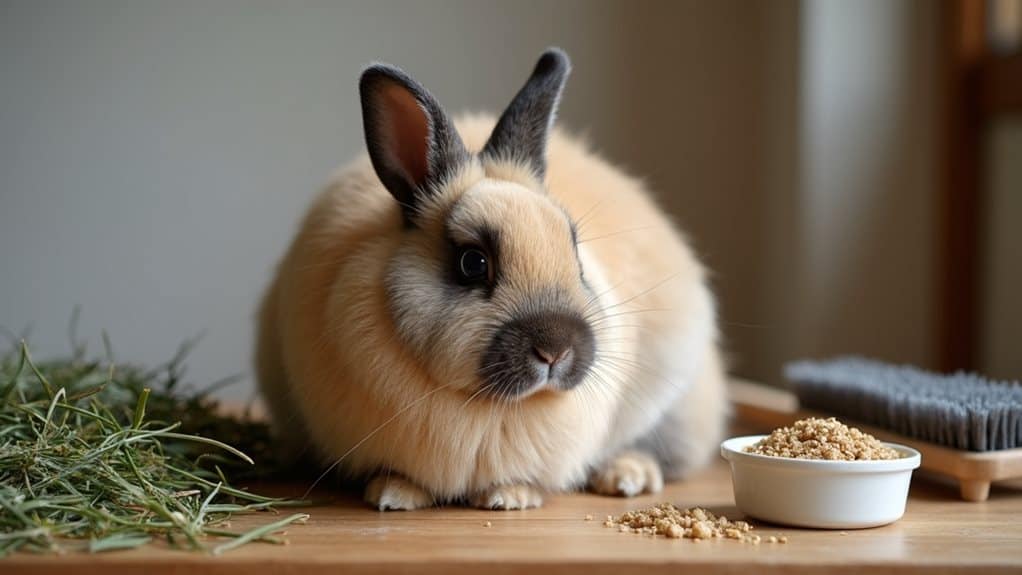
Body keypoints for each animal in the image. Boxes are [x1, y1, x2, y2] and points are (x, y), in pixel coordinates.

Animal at [255, 48, 727, 510]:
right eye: (473, 263)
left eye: (575, 252)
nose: (556, 350)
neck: (488, 408)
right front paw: (393, 495)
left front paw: (510, 497)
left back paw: (627, 477)